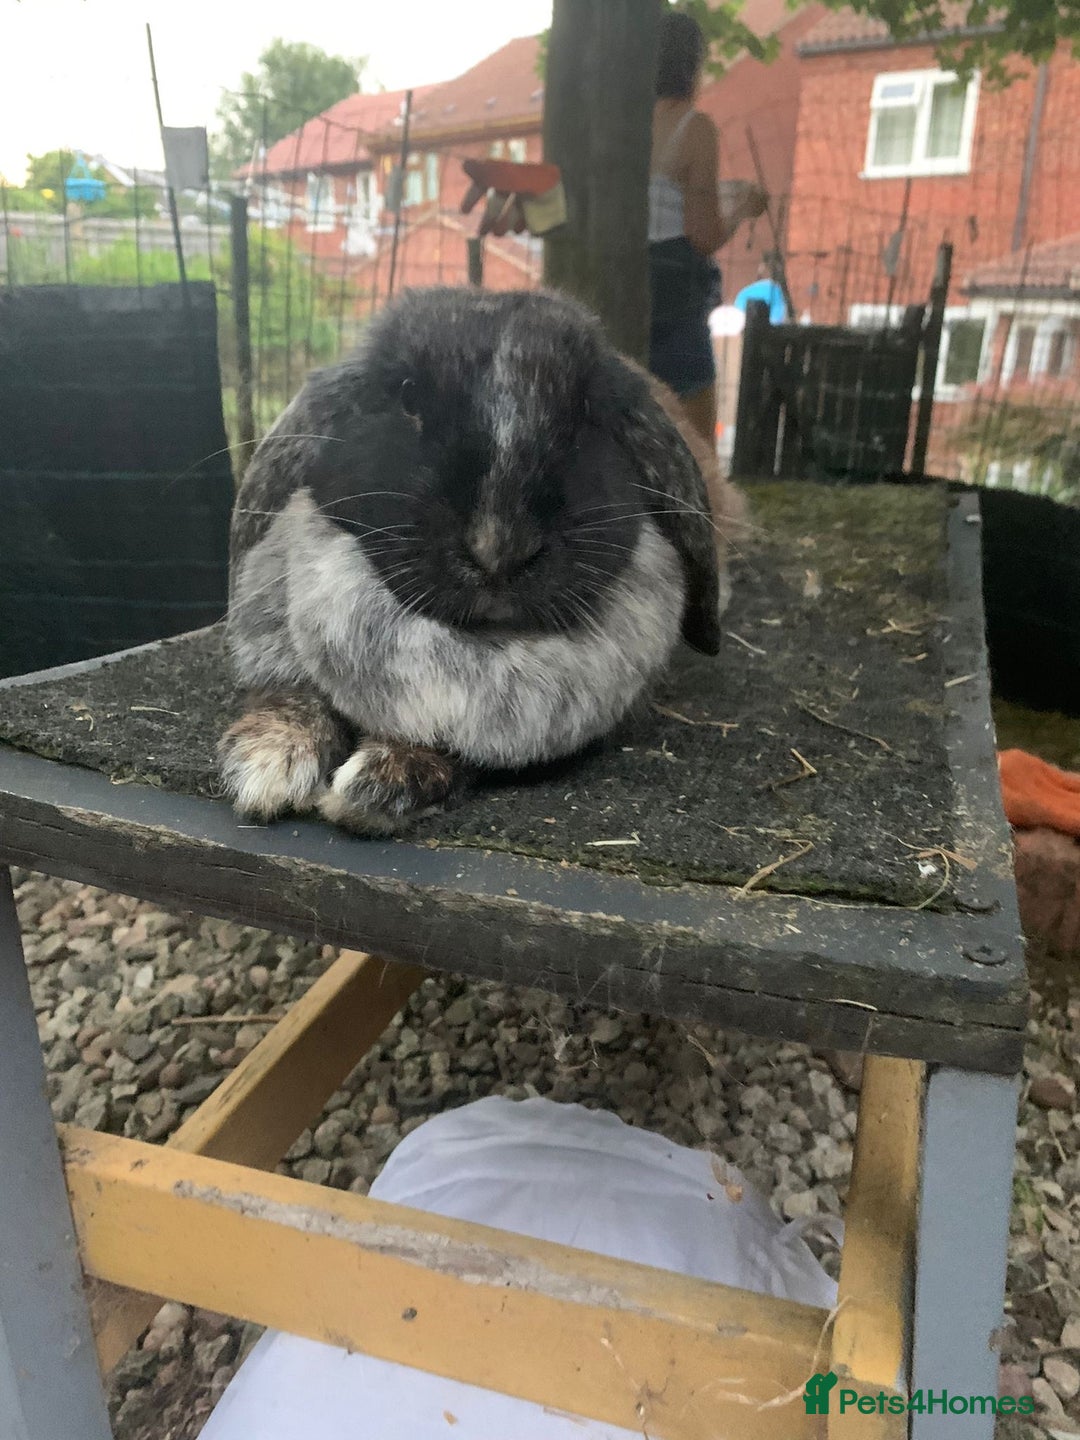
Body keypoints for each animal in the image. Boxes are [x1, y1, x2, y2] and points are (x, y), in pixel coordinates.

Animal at [219, 286, 743, 833]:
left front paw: (379, 782)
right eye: (407, 396)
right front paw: (265, 761)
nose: (499, 548)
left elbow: (456, 752)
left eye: (585, 411)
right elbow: (292, 699)